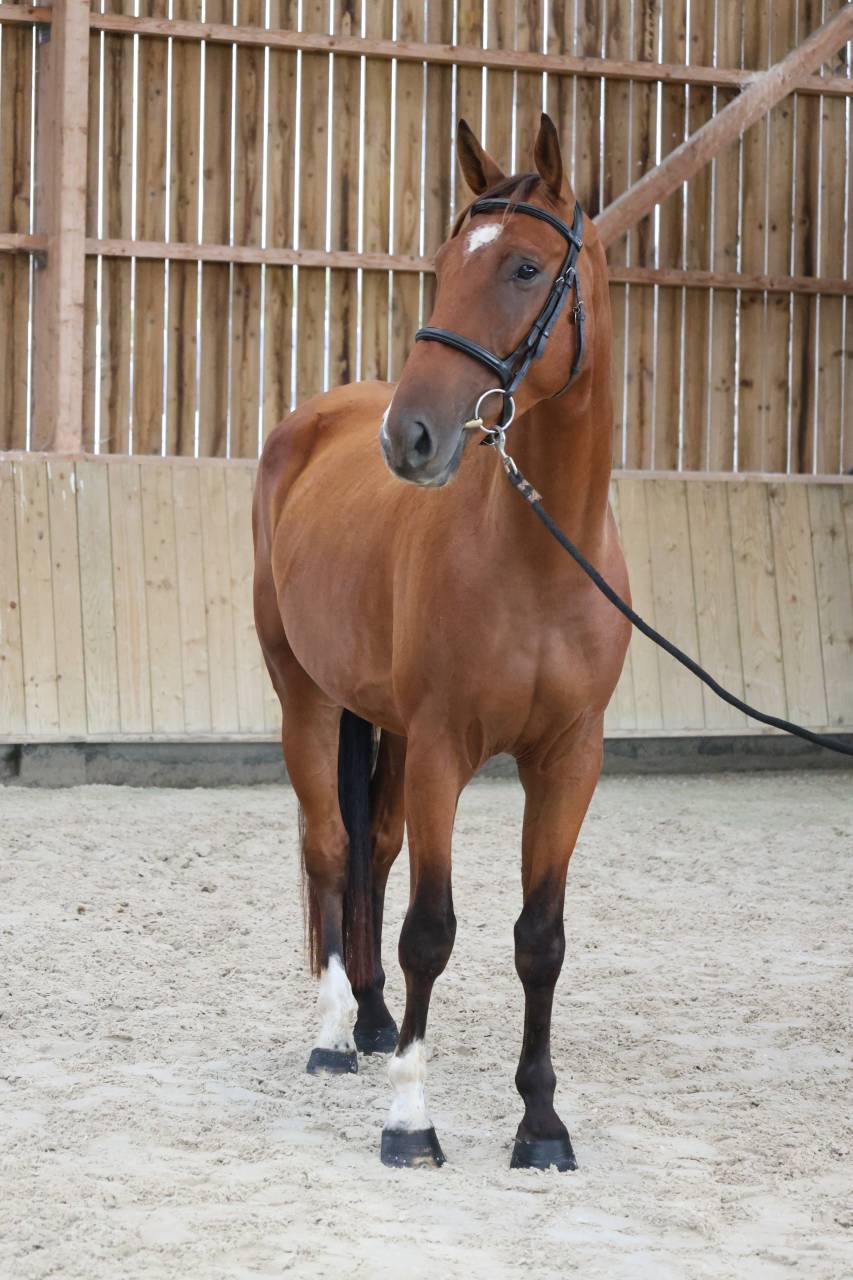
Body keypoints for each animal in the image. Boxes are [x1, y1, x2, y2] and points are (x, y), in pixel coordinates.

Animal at [253, 113, 630, 1172]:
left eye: (525, 267)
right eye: (443, 264)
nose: (409, 438)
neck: (538, 556)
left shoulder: (568, 760)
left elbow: (539, 938)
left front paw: (540, 1124)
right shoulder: (442, 752)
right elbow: (431, 928)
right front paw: (409, 1120)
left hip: (379, 722)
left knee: (371, 852)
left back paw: (377, 1021)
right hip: (306, 698)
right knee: (331, 849)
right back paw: (337, 1036)